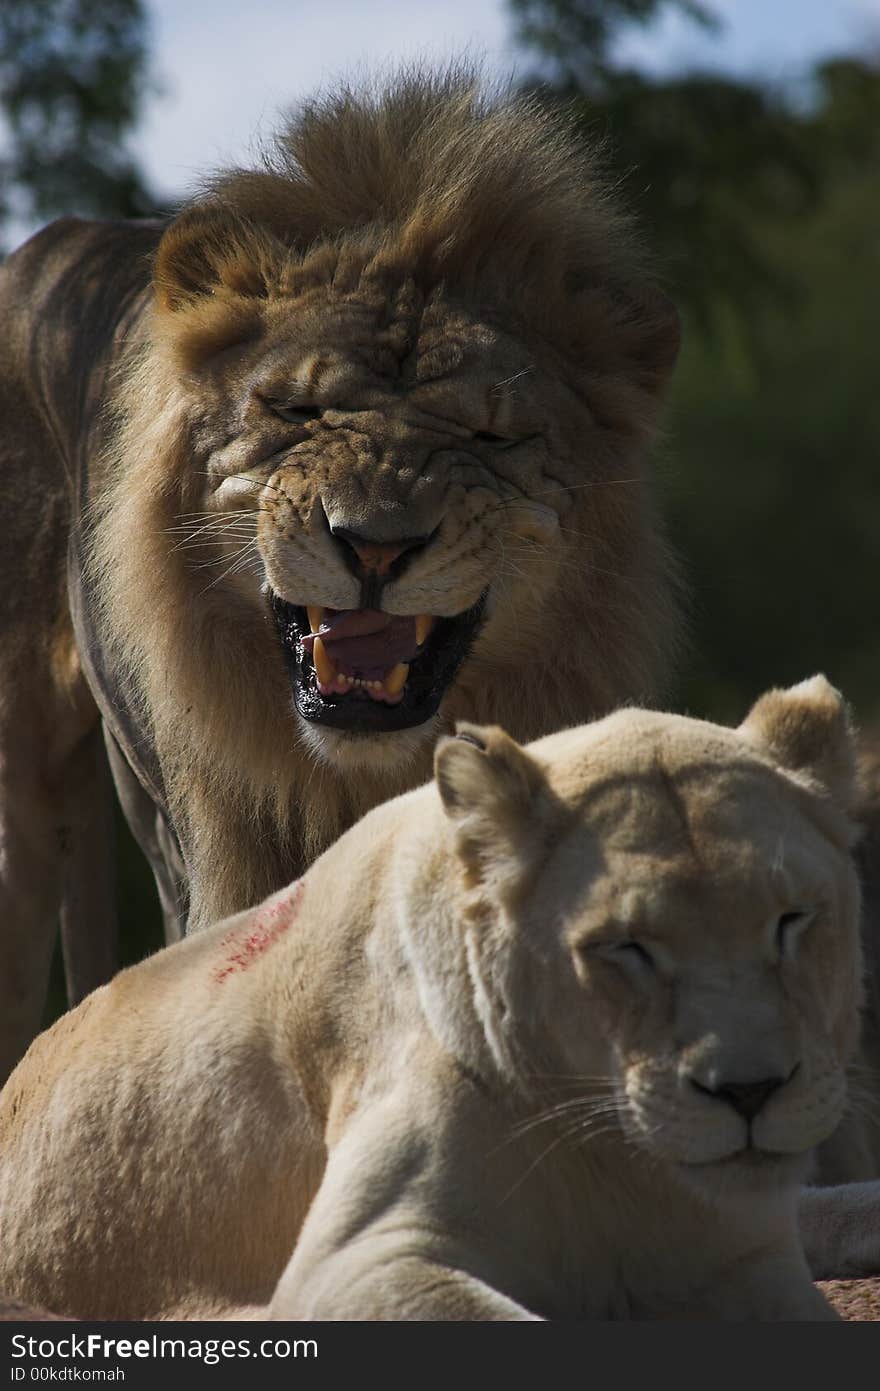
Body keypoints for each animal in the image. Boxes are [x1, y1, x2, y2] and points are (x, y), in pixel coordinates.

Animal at [0, 678, 873, 1318]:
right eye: (624, 946)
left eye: (792, 920)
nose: (751, 1091)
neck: (631, 1171)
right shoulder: (357, 1261)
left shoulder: (745, 1257)